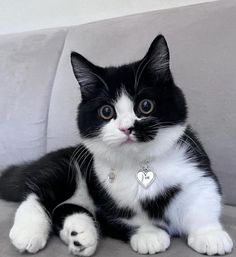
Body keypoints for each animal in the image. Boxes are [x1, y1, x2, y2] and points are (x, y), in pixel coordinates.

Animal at [0, 35, 232, 255]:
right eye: (106, 111)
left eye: (145, 105)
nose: (126, 128)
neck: (140, 162)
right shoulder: (108, 197)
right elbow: (127, 217)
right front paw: (149, 235)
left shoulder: (195, 167)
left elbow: (204, 196)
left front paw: (210, 234)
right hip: (65, 168)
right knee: (38, 193)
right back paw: (28, 232)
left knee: (62, 208)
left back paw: (79, 236)